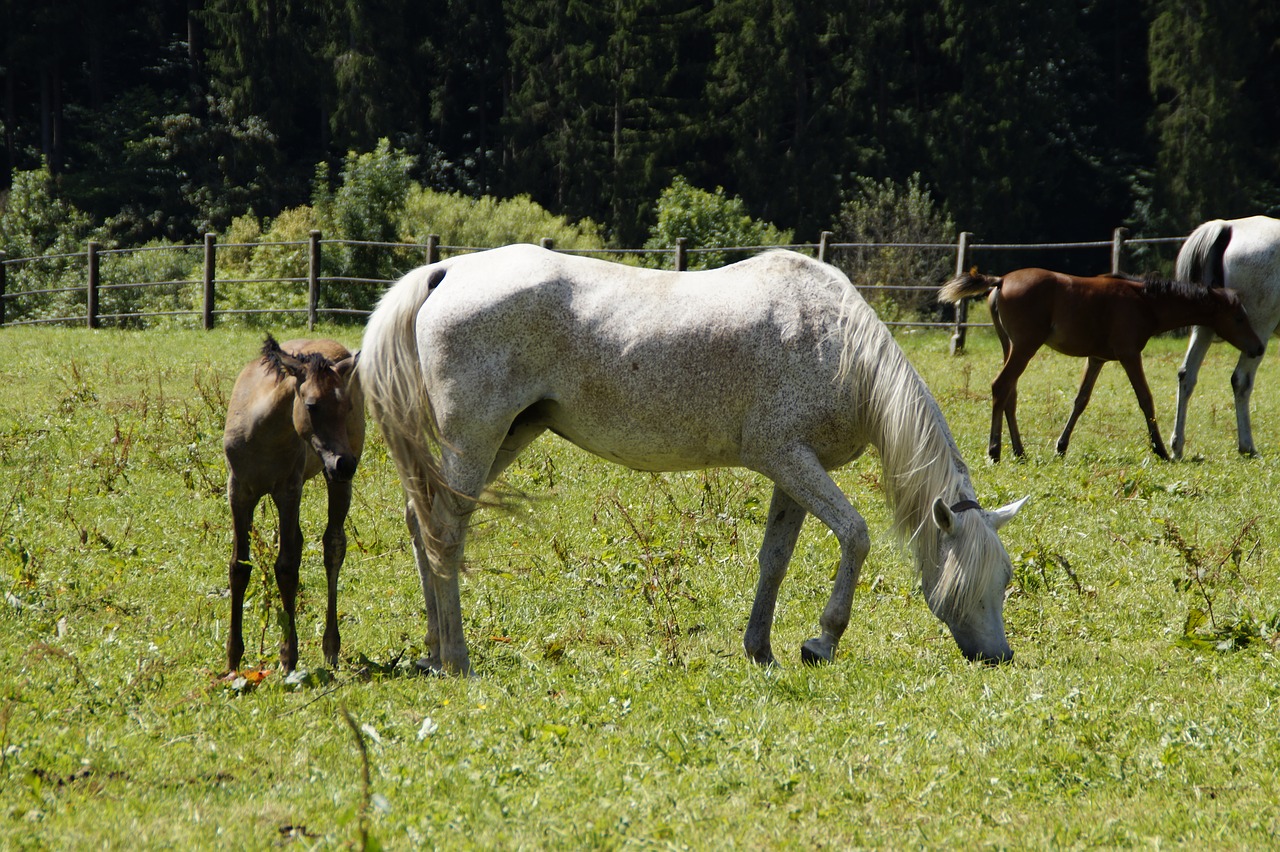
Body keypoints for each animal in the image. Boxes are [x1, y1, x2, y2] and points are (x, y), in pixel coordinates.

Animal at [224, 332, 366, 670]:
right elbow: (239, 566)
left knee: (333, 546)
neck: (261, 433)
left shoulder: (288, 490)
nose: (345, 464)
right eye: (312, 405)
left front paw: (288, 657)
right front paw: (233, 658)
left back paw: (330, 646)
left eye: (347, 406)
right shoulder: (238, 490)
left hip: (333, 482)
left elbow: (286, 567)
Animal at [360, 241, 1029, 675]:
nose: (999, 656)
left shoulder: (792, 472)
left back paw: (432, 651)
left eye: (1006, 578)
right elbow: (856, 535)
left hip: (507, 436)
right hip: (477, 438)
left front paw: (762, 650)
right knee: (446, 532)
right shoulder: (790, 460)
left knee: (423, 522)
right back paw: (457, 659)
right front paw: (822, 642)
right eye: (976, 579)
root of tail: (446, 269)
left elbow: (775, 560)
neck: (837, 346)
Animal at [942, 268, 1259, 460]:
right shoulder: (1130, 354)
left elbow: (1081, 400)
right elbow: (1146, 399)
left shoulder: (1097, 359)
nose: (1257, 347)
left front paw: (1061, 446)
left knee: (1010, 393)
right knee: (1001, 386)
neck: (1144, 301)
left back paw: (1019, 451)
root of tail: (1001, 280)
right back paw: (994, 450)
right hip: (1024, 346)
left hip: (1009, 346)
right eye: (1238, 318)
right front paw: (1159, 449)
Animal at [1172, 217, 1280, 457]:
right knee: (1240, 380)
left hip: (1203, 328)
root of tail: (1226, 227)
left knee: (1186, 375)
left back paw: (1177, 446)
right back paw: (1247, 446)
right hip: (1257, 334)